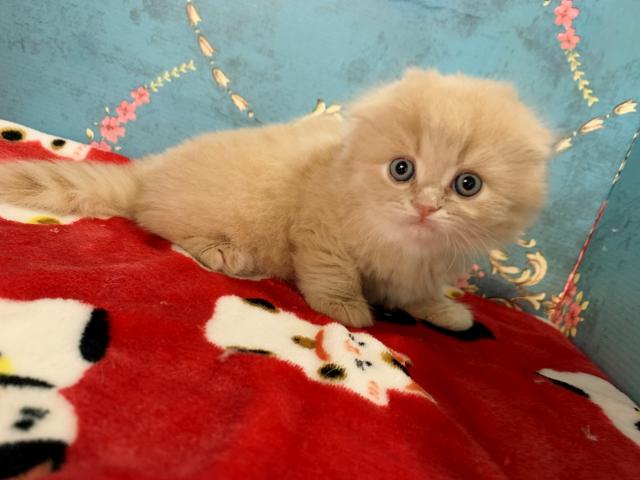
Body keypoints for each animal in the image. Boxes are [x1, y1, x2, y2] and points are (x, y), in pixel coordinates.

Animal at [0, 68, 552, 330]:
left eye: (467, 185)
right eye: (402, 170)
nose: (426, 205)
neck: (405, 243)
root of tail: (149, 171)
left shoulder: (423, 267)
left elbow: (420, 293)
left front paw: (446, 312)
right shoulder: (322, 228)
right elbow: (334, 273)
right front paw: (348, 309)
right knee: (157, 222)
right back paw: (224, 252)